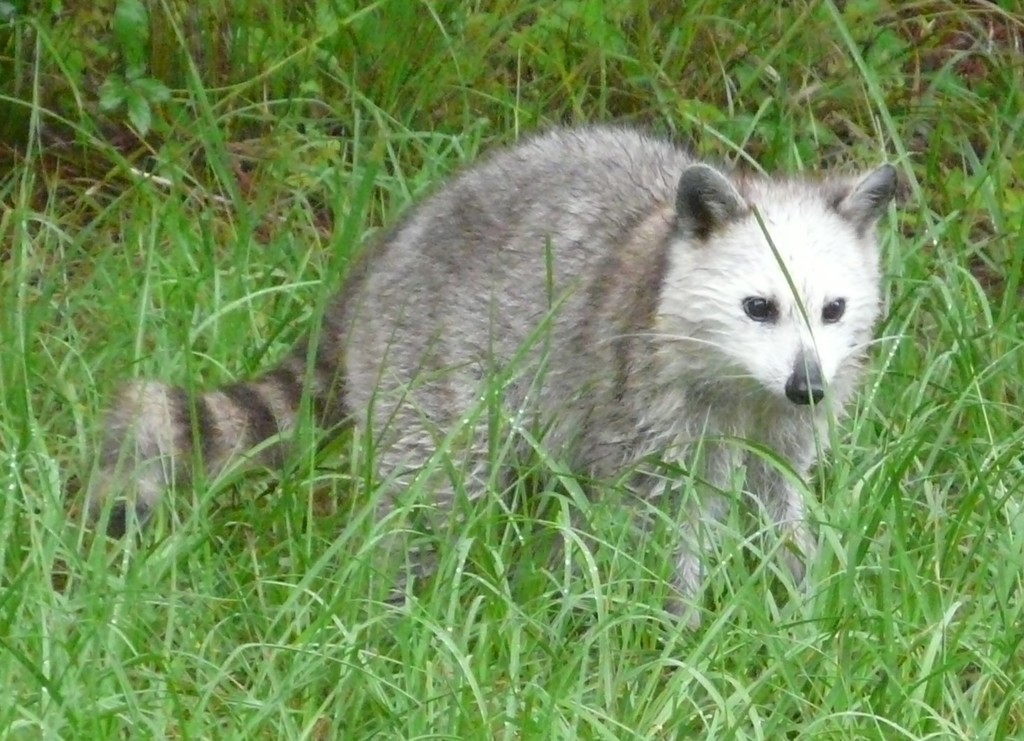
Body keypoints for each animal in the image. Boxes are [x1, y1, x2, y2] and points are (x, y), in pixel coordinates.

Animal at [89, 126, 897, 623]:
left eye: (833, 309)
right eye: (758, 307)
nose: (808, 386)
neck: (746, 386)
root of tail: (385, 252)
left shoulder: (782, 427)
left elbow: (778, 503)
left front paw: (796, 598)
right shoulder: (643, 405)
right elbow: (659, 523)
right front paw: (674, 626)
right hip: (431, 360)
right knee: (439, 490)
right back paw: (400, 605)